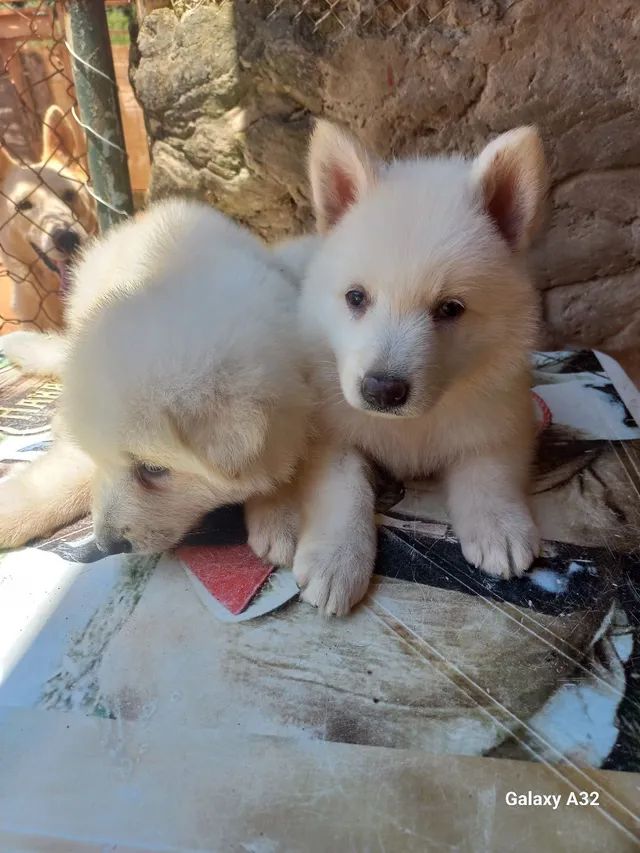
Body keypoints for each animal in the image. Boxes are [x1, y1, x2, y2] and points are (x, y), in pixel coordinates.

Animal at [270, 121, 544, 612]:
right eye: (356, 297)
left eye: (450, 308)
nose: (381, 390)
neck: (413, 425)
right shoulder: (329, 432)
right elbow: (344, 487)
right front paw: (337, 559)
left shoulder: (505, 413)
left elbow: (489, 466)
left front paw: (499, 525)